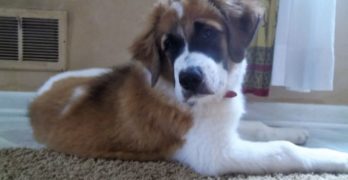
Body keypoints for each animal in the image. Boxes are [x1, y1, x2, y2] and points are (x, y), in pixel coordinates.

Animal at [29, 0, 348, 175]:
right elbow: (284, 152)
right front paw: (338, 157)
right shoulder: (216, 152)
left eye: (207, 33)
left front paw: (293, 131)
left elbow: (259, 126)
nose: (189, 79)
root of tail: (36, 97)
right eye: (168, 46)